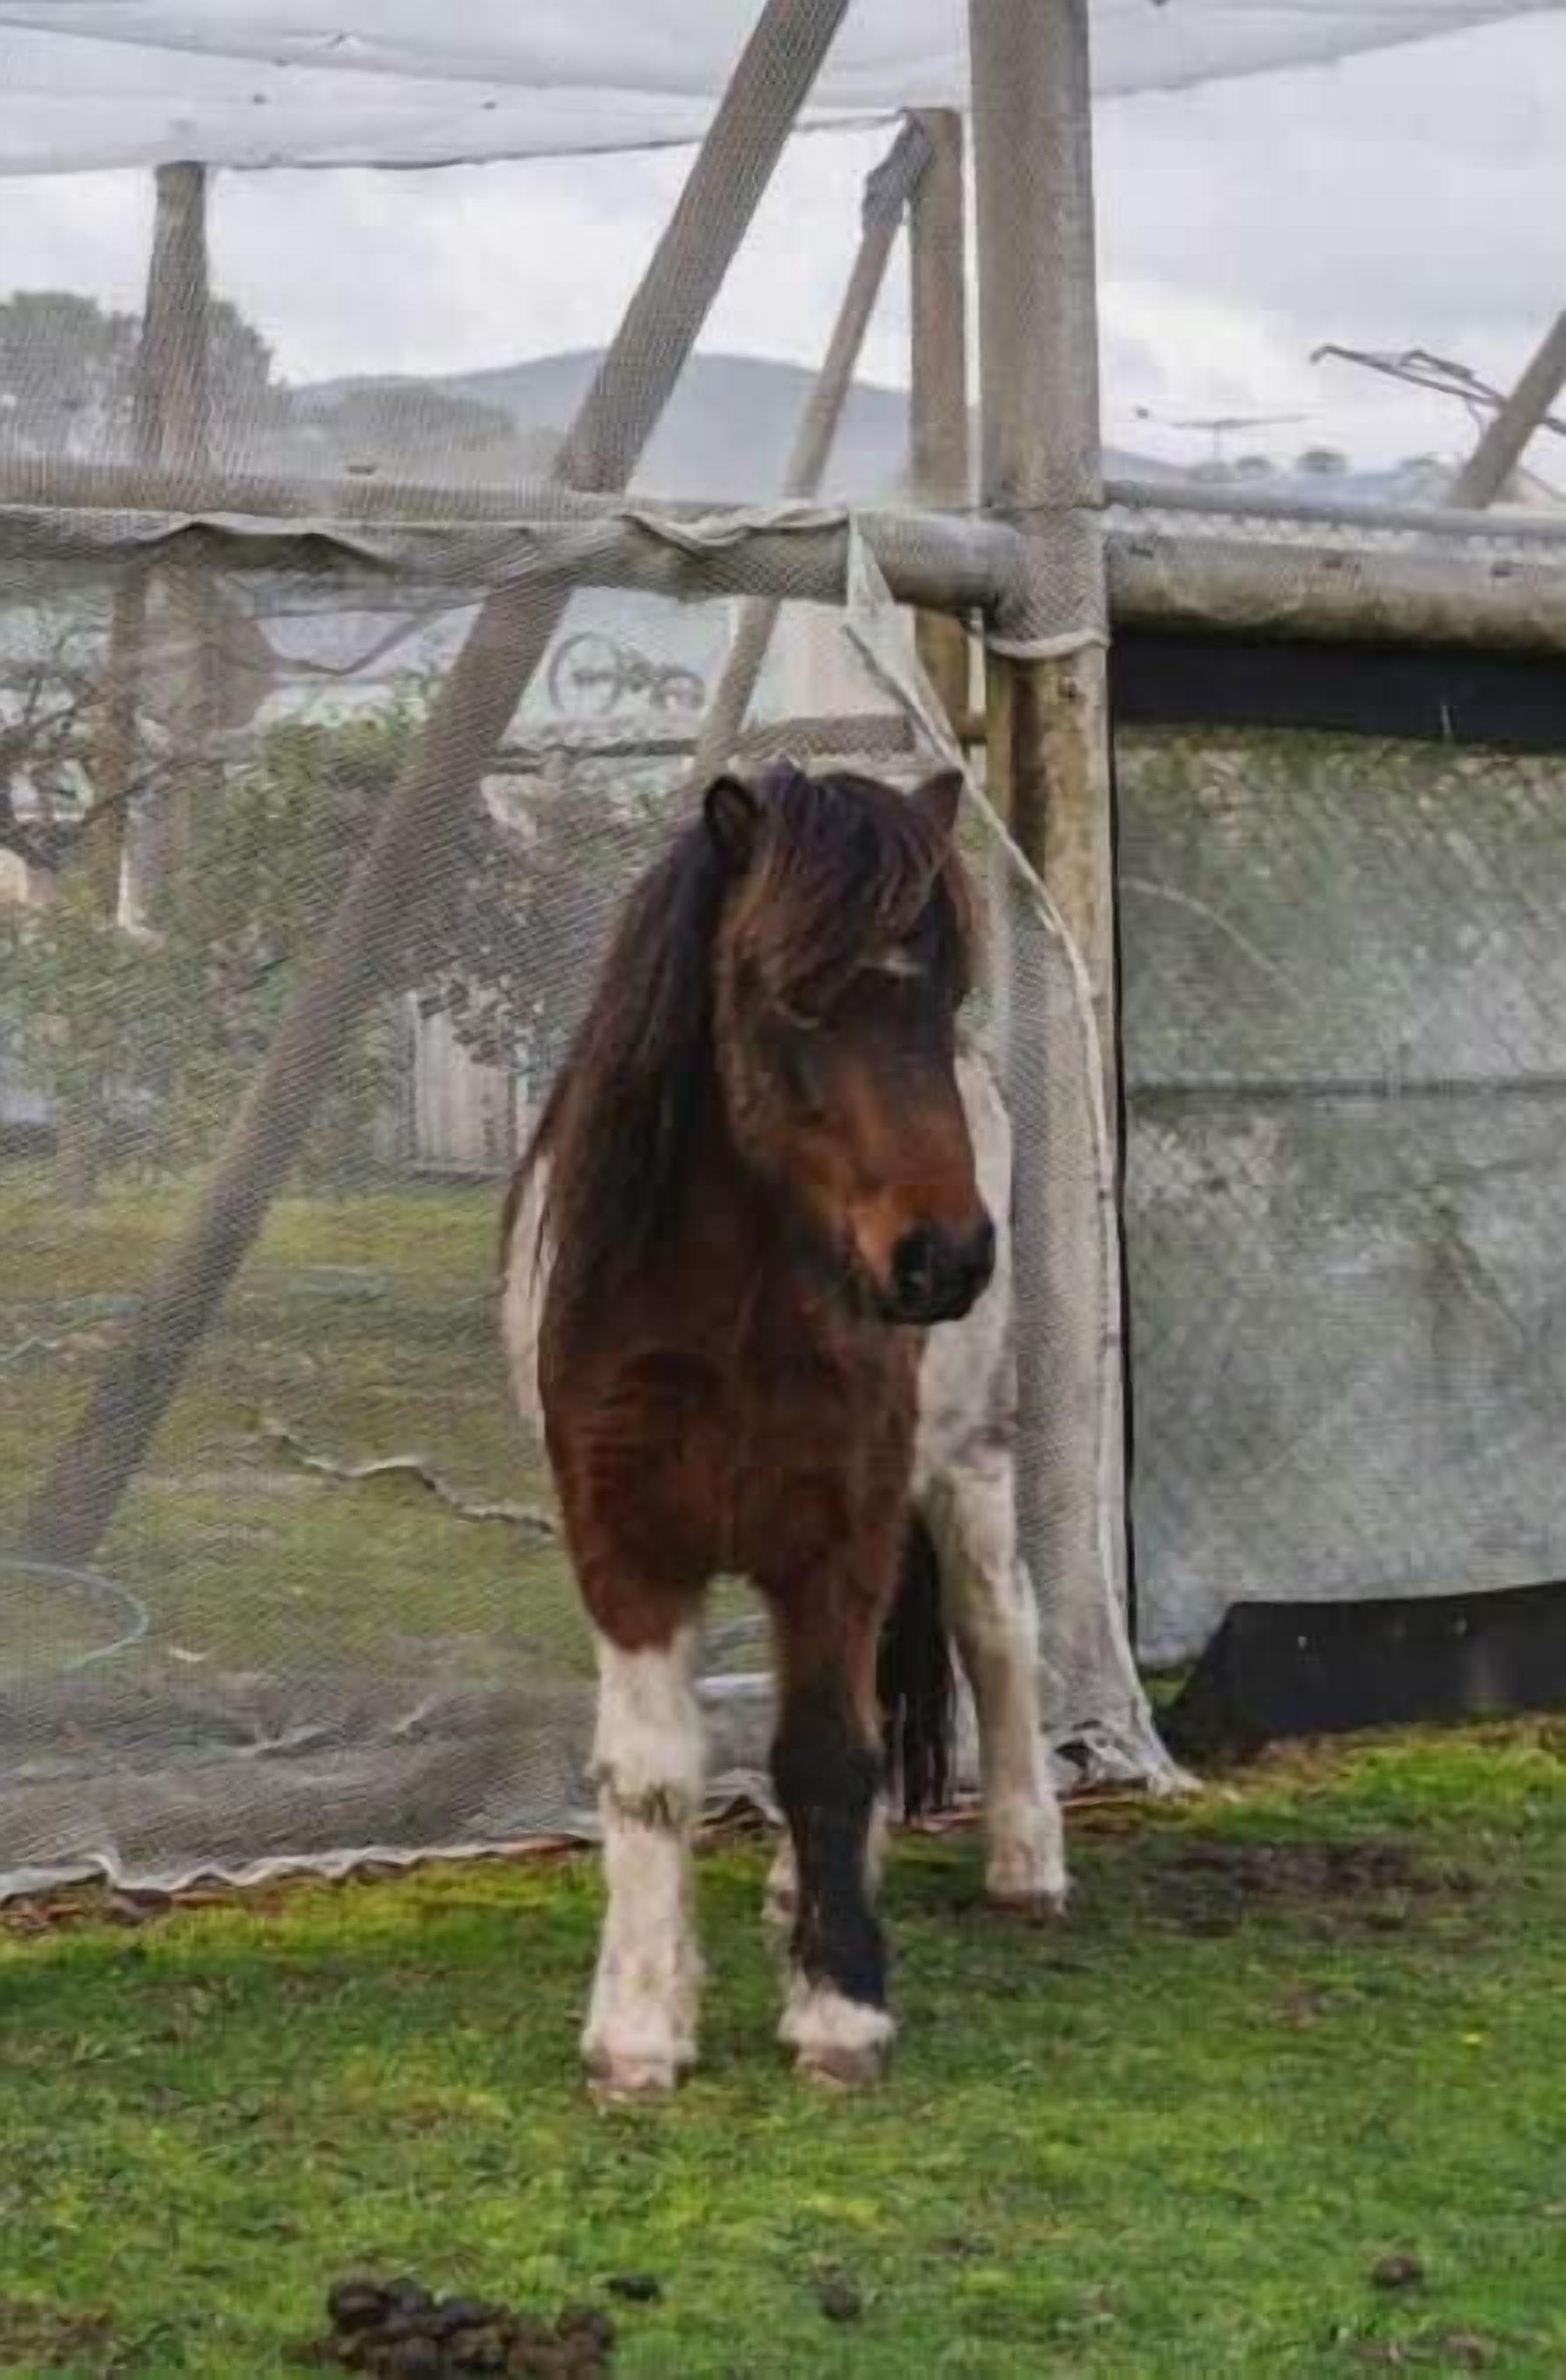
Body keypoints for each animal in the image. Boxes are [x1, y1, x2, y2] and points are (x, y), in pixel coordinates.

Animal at [500, 759, 1064, 2099]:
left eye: (945, 989)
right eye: (795, 995)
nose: (944, 1256)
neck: (723, 1314)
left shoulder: (838, 1530)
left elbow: (827, 1753)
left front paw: (840, 2011)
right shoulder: (626, 1545)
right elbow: (655, 1772)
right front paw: (639, 2032)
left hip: (965, 1464)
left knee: (995, 1630)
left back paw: (1026, 1862)